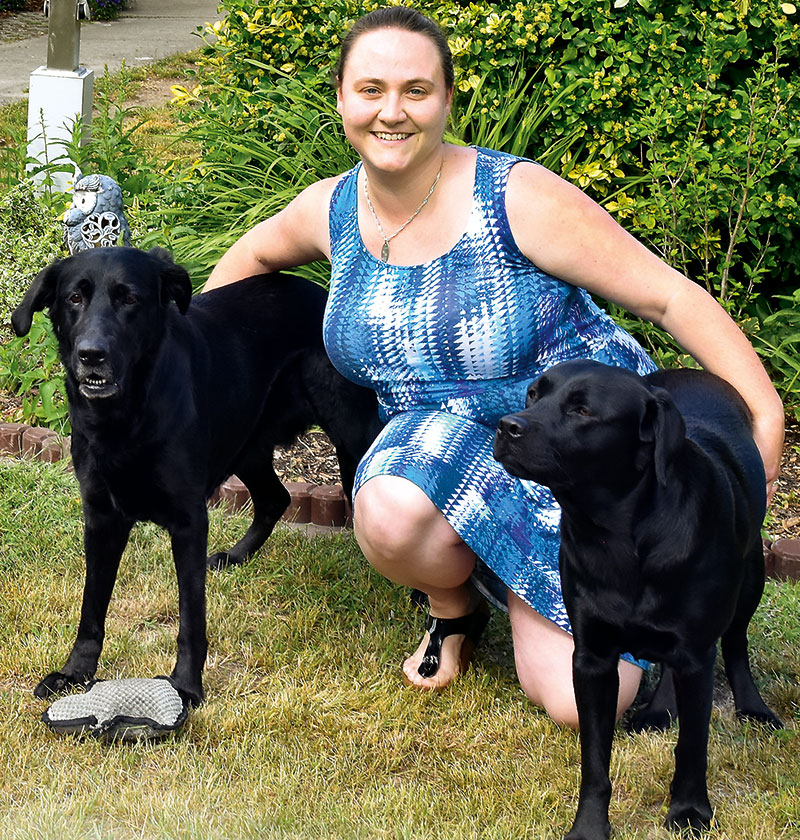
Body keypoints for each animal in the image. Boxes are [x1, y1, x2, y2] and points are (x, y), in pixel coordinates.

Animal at [11, 248, 382, 708]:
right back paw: (237, 556)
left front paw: (186, 686)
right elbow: (91, 607)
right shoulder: (100, 518)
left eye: (129, 299)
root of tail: (320, 294)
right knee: (275, 498)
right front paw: (75, 672)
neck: (126, 418)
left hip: (353, 439)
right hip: (246, 445)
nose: (91, 354)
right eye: (74, 298)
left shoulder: (189, 523)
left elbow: (191, 617)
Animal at [494, 360, 780, 840]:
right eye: (533, 395)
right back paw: (660, 709)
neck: (618, 537)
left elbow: (692, 747)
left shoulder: (696, 657)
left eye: (582, 410)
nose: (507, 425)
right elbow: (594, 761)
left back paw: (752, 706)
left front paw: (689, 811)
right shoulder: (591, 660)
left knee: (736, 641)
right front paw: (590, 827)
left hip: (751, 577)